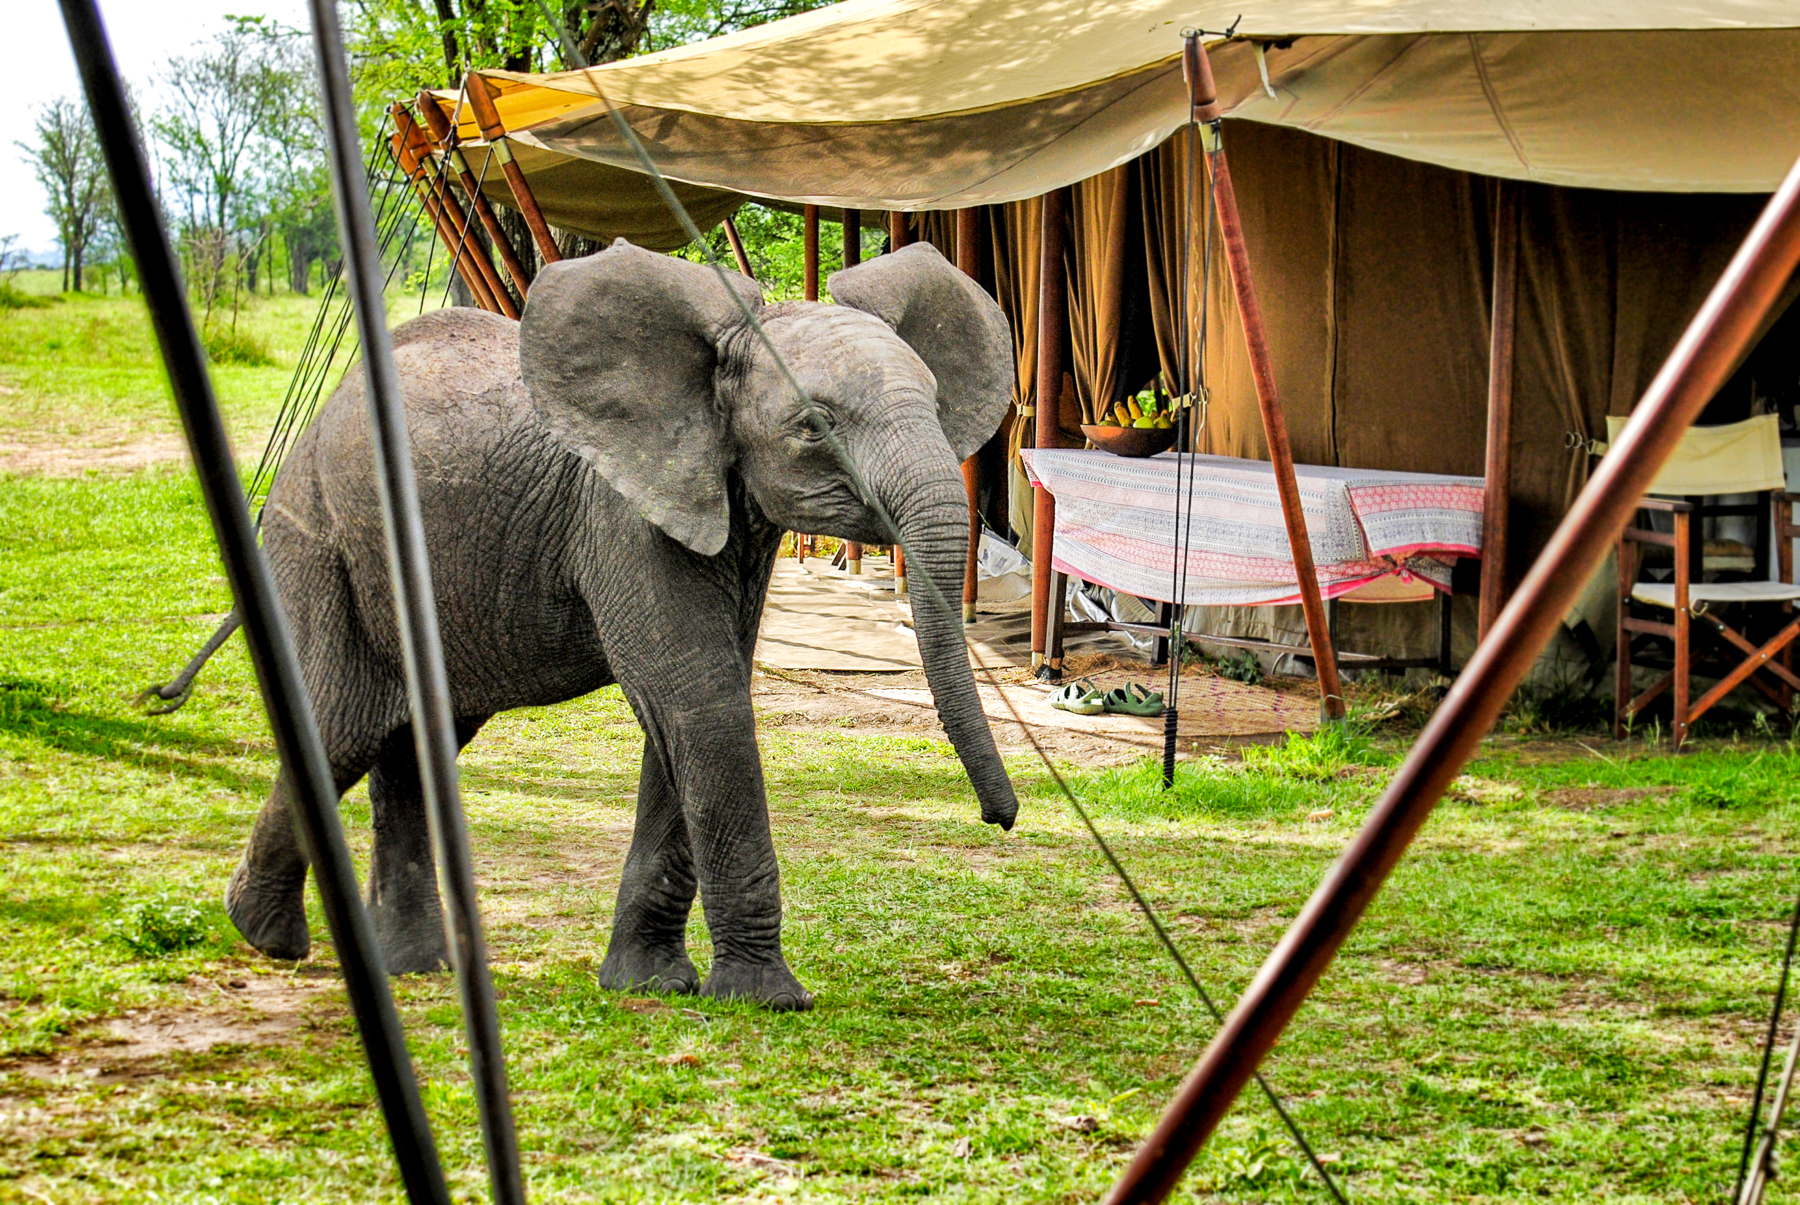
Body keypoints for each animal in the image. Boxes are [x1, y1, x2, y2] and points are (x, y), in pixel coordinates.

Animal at [223, 239, 1020, 1010]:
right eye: (814, 427)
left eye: (937, 402)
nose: (1001, 819)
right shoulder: (619, 512)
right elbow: (698, 697)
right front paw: (768, 999)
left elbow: (690, 708)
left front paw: (649, 985)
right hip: (317, 532)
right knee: (344, 727)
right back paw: (266, 935)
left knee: (417, 738)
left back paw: (411, 965)